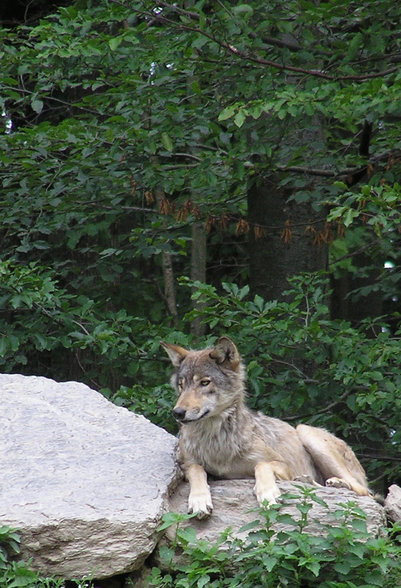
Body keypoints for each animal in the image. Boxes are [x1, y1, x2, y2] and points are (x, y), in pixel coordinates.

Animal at [161, 336, 370, 520]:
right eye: (181, 385)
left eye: (204, 382)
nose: (177, 412)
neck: (215, 440)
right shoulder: (187, 465)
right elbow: (197, 470)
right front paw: (199, 501)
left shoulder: (281, 463)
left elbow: (262, 465)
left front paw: (268, 493)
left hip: (305, 430)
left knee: (364, 492)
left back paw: (337, 483)